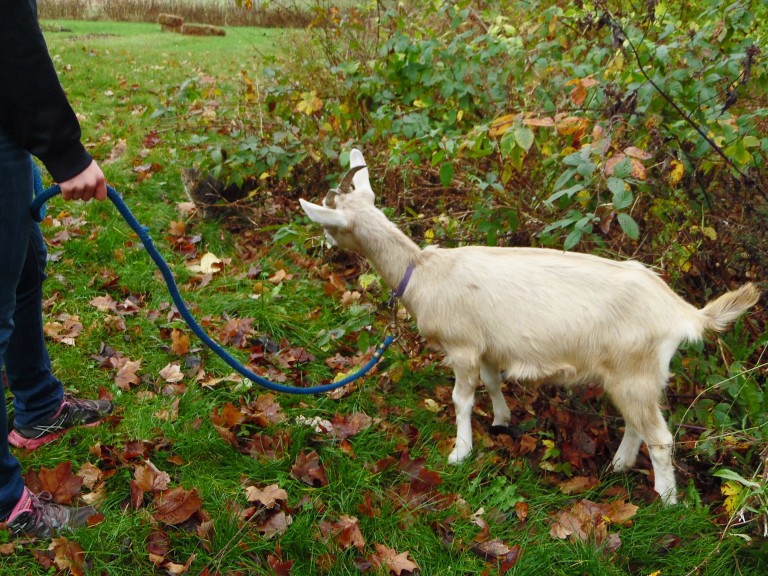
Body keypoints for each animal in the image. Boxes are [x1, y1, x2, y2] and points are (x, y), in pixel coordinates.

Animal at [299, 149, 761, 504]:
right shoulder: (486, 345)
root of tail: (680, 311)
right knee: (639, 422)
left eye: (326, 220)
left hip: (635, 370)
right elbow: (492, 382)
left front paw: (459, 453)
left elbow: (461, 399)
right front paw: (502, 420)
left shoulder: (462, 346)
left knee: (661, 438)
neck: (424, 272)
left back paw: (666, 501)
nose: (323, 245)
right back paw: (619, 464)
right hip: (635, 374)